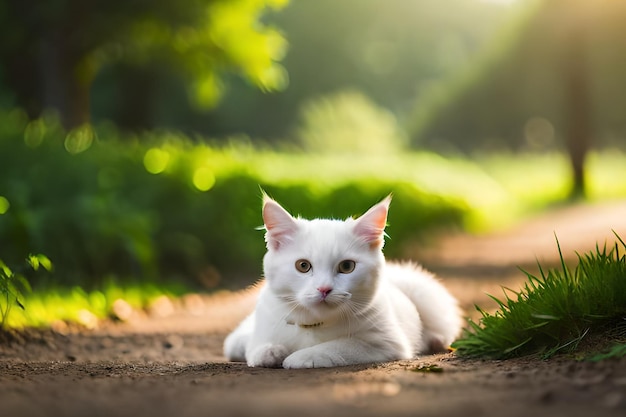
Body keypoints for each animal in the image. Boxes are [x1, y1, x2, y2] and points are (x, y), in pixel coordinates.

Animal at [222, 195, 460, 368]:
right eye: (302, 266)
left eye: (347, 267)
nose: (324, 289)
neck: (314, 324)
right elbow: (256, 345)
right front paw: (269, 351)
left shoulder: (386, 342)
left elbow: (337, 345)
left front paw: (301, 357)